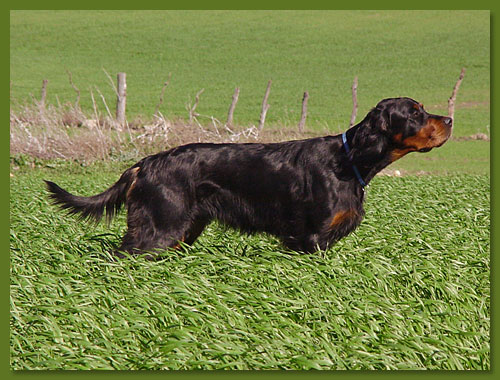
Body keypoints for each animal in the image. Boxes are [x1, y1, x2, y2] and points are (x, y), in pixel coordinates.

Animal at [46, 98, 454, 258]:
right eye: (415, 113)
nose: (450, 119)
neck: (349, 159)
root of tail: (145, 163)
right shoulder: (311, 238)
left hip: (182, 231)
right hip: (159, 229)